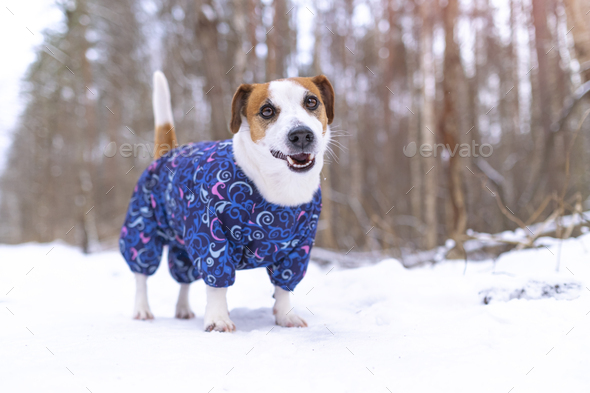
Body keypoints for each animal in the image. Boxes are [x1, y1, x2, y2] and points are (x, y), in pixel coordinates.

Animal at [119, 71, 338, 330]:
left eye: (312, 102)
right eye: (267, 111)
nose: (302, 134)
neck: (278, 187)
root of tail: (167, 154)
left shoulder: (298, 248)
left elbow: (283, 285)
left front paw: (285, 315)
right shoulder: (209, 236)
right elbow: (216, 282)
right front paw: (218, 318)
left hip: (181, 243)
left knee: (183, 277)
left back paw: (182, 308)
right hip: (144, 227)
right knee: (141, 274)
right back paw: (142, 309)